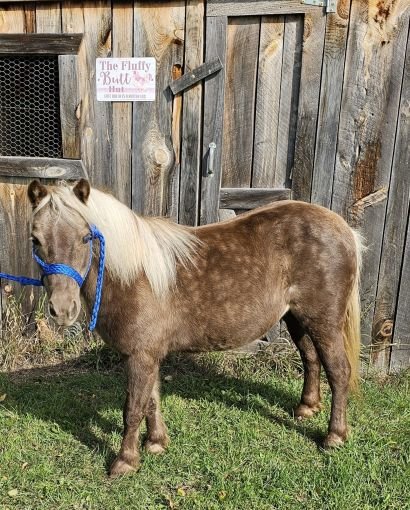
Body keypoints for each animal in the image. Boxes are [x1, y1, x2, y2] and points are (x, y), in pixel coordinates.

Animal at [27, 178, 362, 478]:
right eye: (35, 239)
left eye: (86, 237)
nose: (62, 309)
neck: (136, 275)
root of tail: (343, 228)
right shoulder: (146, 354)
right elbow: (151, 399)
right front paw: (156, 443)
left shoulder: (140, 356)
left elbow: (133, 409)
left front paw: (125, 462)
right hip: (297, 319)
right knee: (311, 359)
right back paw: (306, 408)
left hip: (324, 322)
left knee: (338, 371)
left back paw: (334, 436)